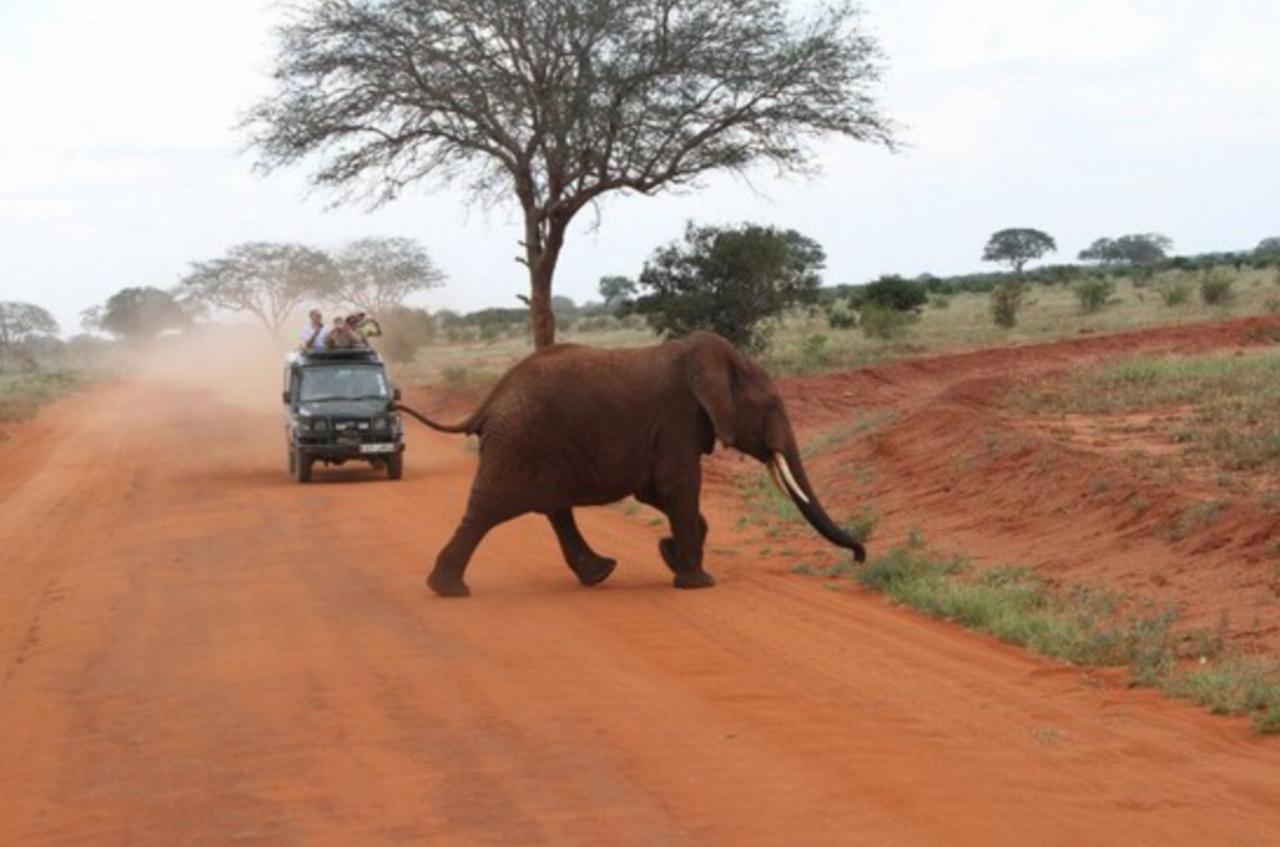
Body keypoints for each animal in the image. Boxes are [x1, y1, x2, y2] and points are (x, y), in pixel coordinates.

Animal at [394, 332, 865, 596]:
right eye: (770, 407)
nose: (860, 556)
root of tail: (489, 401)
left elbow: (658, 492)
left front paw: (671, 556)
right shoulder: (678, 418)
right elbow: (678, 487)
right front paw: (698, 583)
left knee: (553, 509)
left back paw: (599, 574)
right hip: (522, 443)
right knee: (488, 510)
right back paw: (449, 590)